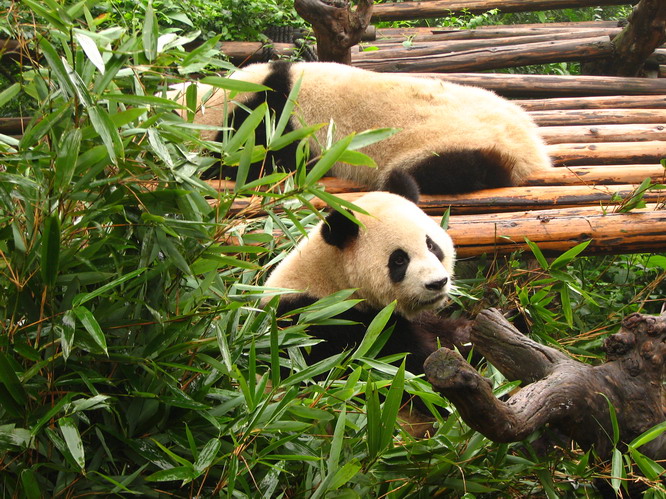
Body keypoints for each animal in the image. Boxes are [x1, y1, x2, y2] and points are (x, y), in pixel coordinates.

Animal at [264, 171, 473, 406]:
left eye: (431, 245)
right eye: (399, 260)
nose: (437, 283)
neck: (334, 283)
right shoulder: (323, 326)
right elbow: (402, 371)